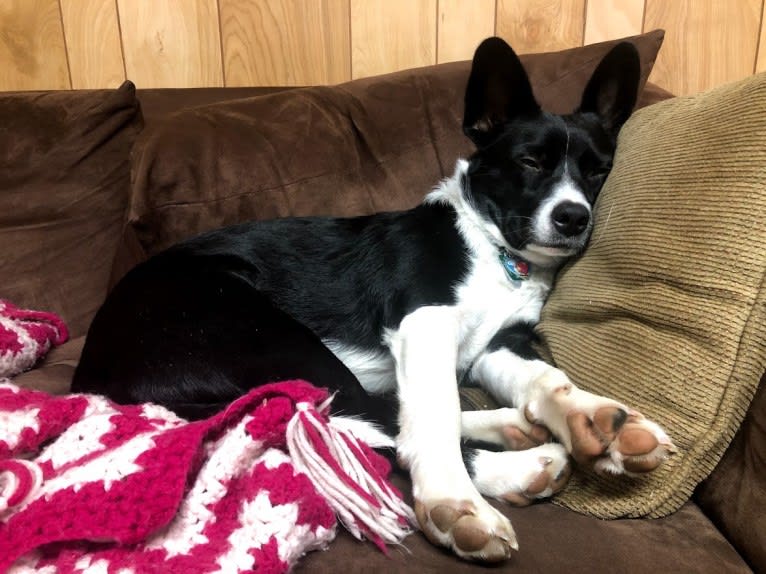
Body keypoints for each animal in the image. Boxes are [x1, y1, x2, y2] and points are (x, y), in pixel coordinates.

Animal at [70, 38, 672, 564]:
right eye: (529, 163)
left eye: (598, 171)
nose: (574, 219)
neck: (493, 247)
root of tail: (93, 367)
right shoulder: (425, 322)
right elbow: (432, 413)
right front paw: (454, 500)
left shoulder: (500, 343)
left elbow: (547, 378)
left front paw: (593, 419)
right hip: (266, 334)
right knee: (360, 421)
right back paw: (515, 467)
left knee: (373, 412)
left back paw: (512, 428)